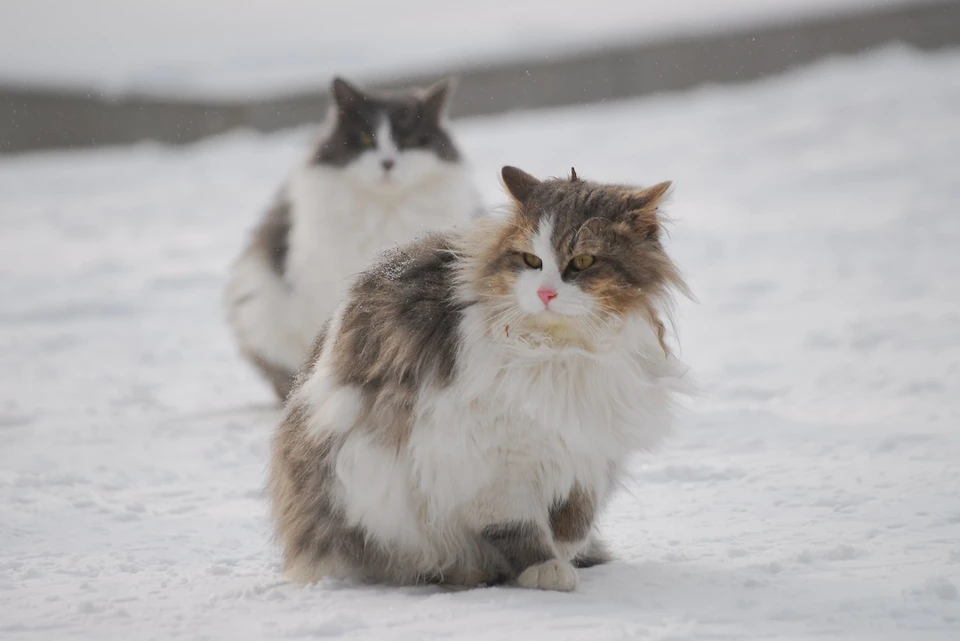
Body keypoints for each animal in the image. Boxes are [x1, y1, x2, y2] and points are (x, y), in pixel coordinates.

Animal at [266, 165, 692, 592]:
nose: (546, 294)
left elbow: (574, 520)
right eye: (531, 260)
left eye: (584, 260)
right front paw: (545, 568)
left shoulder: (589, 449)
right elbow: (517, 525)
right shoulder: (487, 459)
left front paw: (565, 552)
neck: (561, 349)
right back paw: (467, 572)